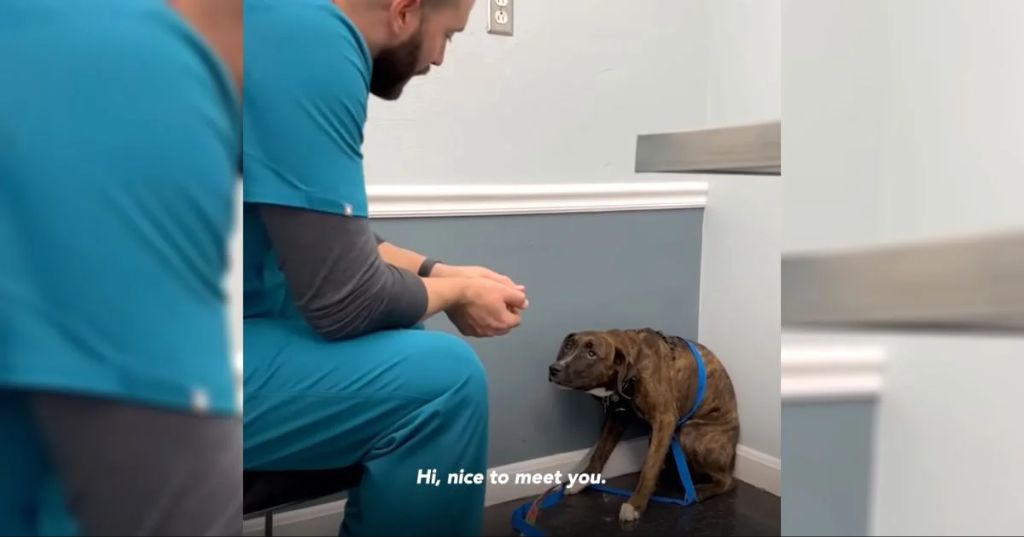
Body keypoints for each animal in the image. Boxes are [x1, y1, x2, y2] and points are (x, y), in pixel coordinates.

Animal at [548, 329, 741, 522]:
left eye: (591, 353)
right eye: (568, 346)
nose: (554, 369)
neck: (635, 366)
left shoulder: (664, 420)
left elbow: (649, 467)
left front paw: (635, 504)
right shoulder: (616, 416)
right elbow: (600, 452)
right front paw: (582, 481)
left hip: (689, 432)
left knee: (728, 481)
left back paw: (699, 491)